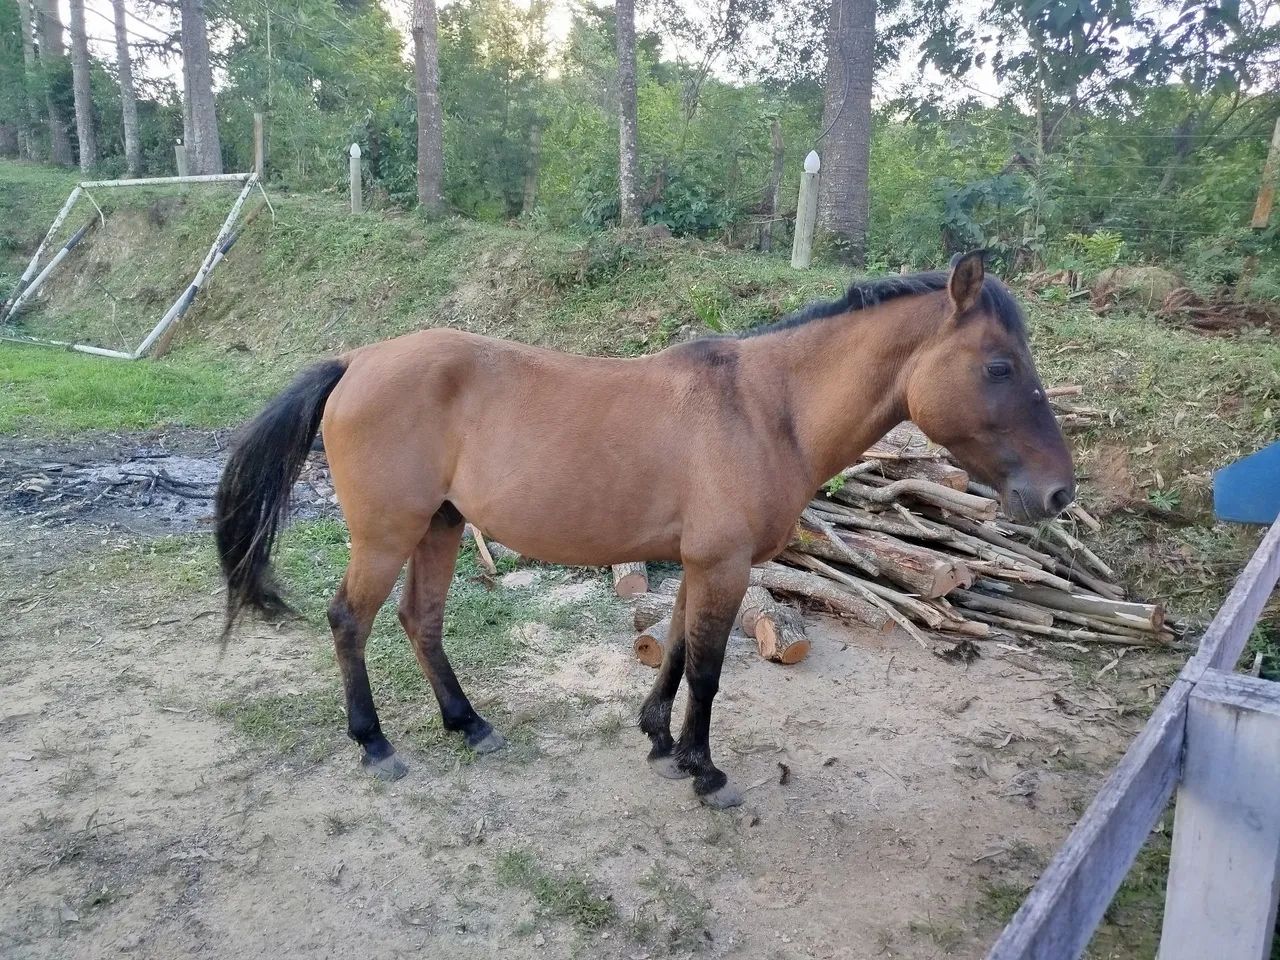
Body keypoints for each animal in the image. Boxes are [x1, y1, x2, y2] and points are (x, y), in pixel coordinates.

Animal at [214, 251, 1074, 808]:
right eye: (999, 366)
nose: (1059, 492)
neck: (767, 407)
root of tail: (356, 361)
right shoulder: (725, 564)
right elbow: (710, 671)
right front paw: (704, 770)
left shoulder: (700, 563)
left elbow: (677, 652)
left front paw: (659, 740)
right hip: (388, 535)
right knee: (349, 622)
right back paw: (375, 743)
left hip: (440, 528)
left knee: (418, 621)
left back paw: (470, 725)